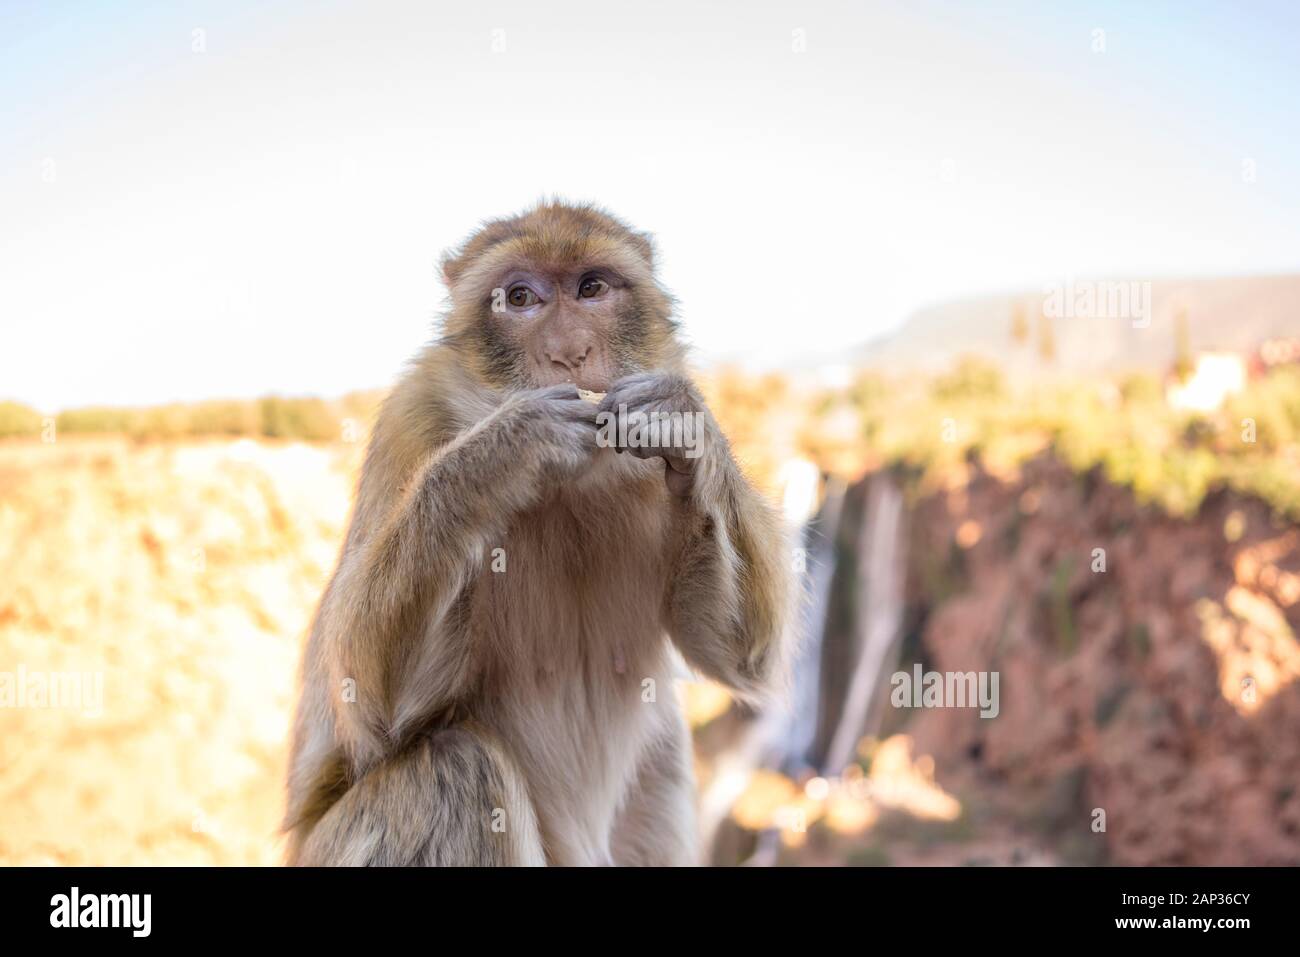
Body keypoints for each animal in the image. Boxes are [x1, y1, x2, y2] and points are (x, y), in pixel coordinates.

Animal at [283, 200, 794, 866]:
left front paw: (682, 425)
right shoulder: (410, 422)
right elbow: (371, 705)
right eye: (520, 298)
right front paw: (507, 448)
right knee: (452, 766)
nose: (570, 352)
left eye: (591, 288)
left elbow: (740, 654)